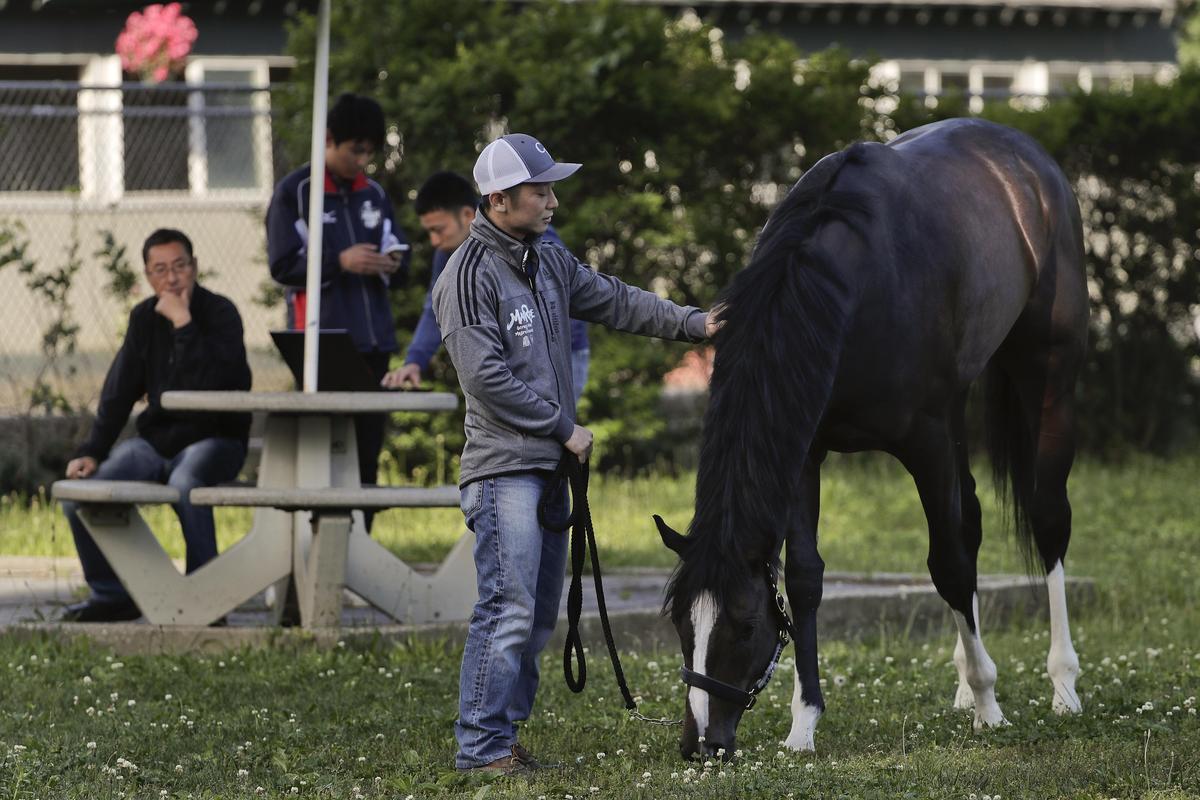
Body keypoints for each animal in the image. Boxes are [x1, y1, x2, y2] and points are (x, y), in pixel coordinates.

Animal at [654, 117, 1089, 760]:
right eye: (681, 623)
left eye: (746, 625)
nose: (700, 744)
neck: (852, 287)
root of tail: (1031, 160)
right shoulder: (804, 450)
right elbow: (806, 578)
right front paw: (803, 725)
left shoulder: (926, 441)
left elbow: (948, 564)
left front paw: (990, 705)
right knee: (972, 518)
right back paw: (966, 682)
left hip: (1047, 373)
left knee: (1046, 518)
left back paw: (1061, 685)